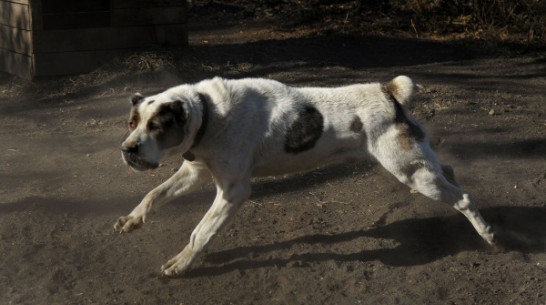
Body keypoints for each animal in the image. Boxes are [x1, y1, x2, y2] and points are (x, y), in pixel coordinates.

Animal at [115, 76, 492, 276]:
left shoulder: (233, 192)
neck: (208, 112)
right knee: (449, 170)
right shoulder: (193, 171)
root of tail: (388, 91)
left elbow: (200, 232)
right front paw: (132, 220)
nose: (128, 150)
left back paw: (488, 235)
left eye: (157, 126)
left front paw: (182, 263)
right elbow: (153, 195)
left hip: (411, 174)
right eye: (132, 123)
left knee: (463, 198)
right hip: (418, 163)